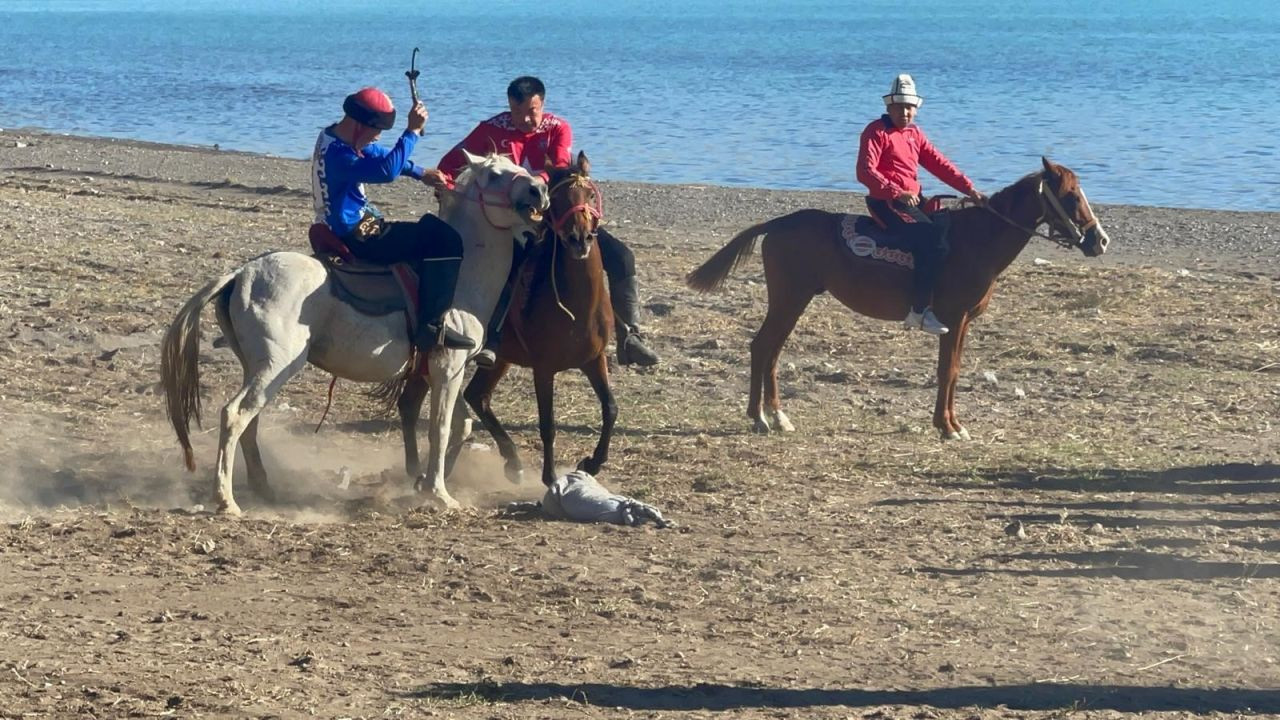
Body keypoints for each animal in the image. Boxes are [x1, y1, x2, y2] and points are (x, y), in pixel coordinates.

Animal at [160, 151, 545, 512]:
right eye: (494, 175)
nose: (539, 189)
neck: (462, 278)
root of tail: (241, 274)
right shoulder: (447, 366)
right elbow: (441, 427)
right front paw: (439, 492)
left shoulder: (445, 370)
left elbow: (459, 425)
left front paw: (424, 481)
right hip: (275, 366)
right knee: (235, 415)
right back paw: (226, 500)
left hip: (256, 368)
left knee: (250, 421)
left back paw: (263, 489)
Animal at [463, 152, 616, 486]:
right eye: (556, 201)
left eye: (589, 195)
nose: (579, 239)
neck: (577, 306)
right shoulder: (544, 369)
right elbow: (548, 423)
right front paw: (550, 477)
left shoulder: (594, 360)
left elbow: (610, 409)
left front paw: (593, 462)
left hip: (500, 358)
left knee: (476, 395)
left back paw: (513, 461)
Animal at [691, 157, 1111, 438]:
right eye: (1071, 196)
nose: (1099, 240)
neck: (976, 241)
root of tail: (778, 223)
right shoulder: (953, 318)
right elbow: (947, 371)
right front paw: (947, 427)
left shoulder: (963, 323)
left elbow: (954, 371)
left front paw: (953, 424)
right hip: (788, 299)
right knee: (762, 347)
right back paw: (760, 417)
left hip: (794, 301)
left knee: (772, 351)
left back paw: (777, 416)